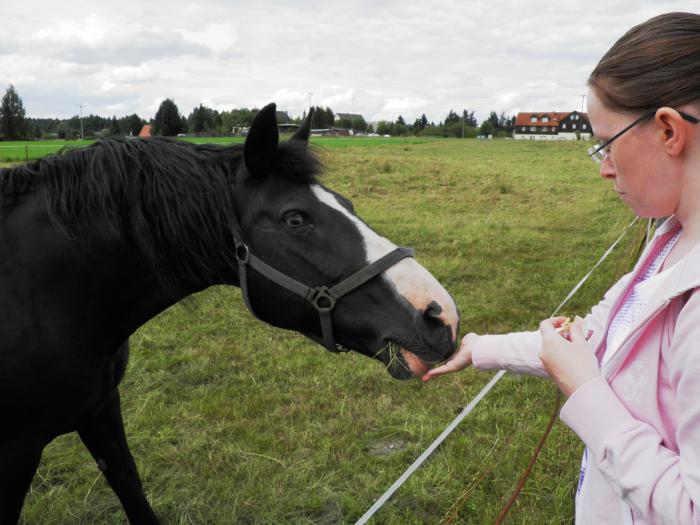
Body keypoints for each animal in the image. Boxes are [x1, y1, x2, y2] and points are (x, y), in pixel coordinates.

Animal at [0, 104, 462, 520]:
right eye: (296, 219)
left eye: (346, 202)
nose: (441, 316)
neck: (45, 294)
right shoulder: (19, 450)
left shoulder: (100, 408)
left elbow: (130, 486)